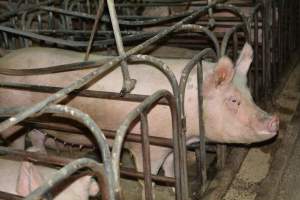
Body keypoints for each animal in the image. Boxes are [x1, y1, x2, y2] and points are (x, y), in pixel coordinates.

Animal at [0, 42, 278, 180]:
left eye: (249, 94)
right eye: (233, 100)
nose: (274, 121)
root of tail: (5, 60)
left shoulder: (170, 144)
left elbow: (171, 169)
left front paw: (174, 184)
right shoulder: (150, 146)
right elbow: (150, 172)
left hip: (39, 119)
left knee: (37, 136)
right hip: (14, 116)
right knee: (16, 142)